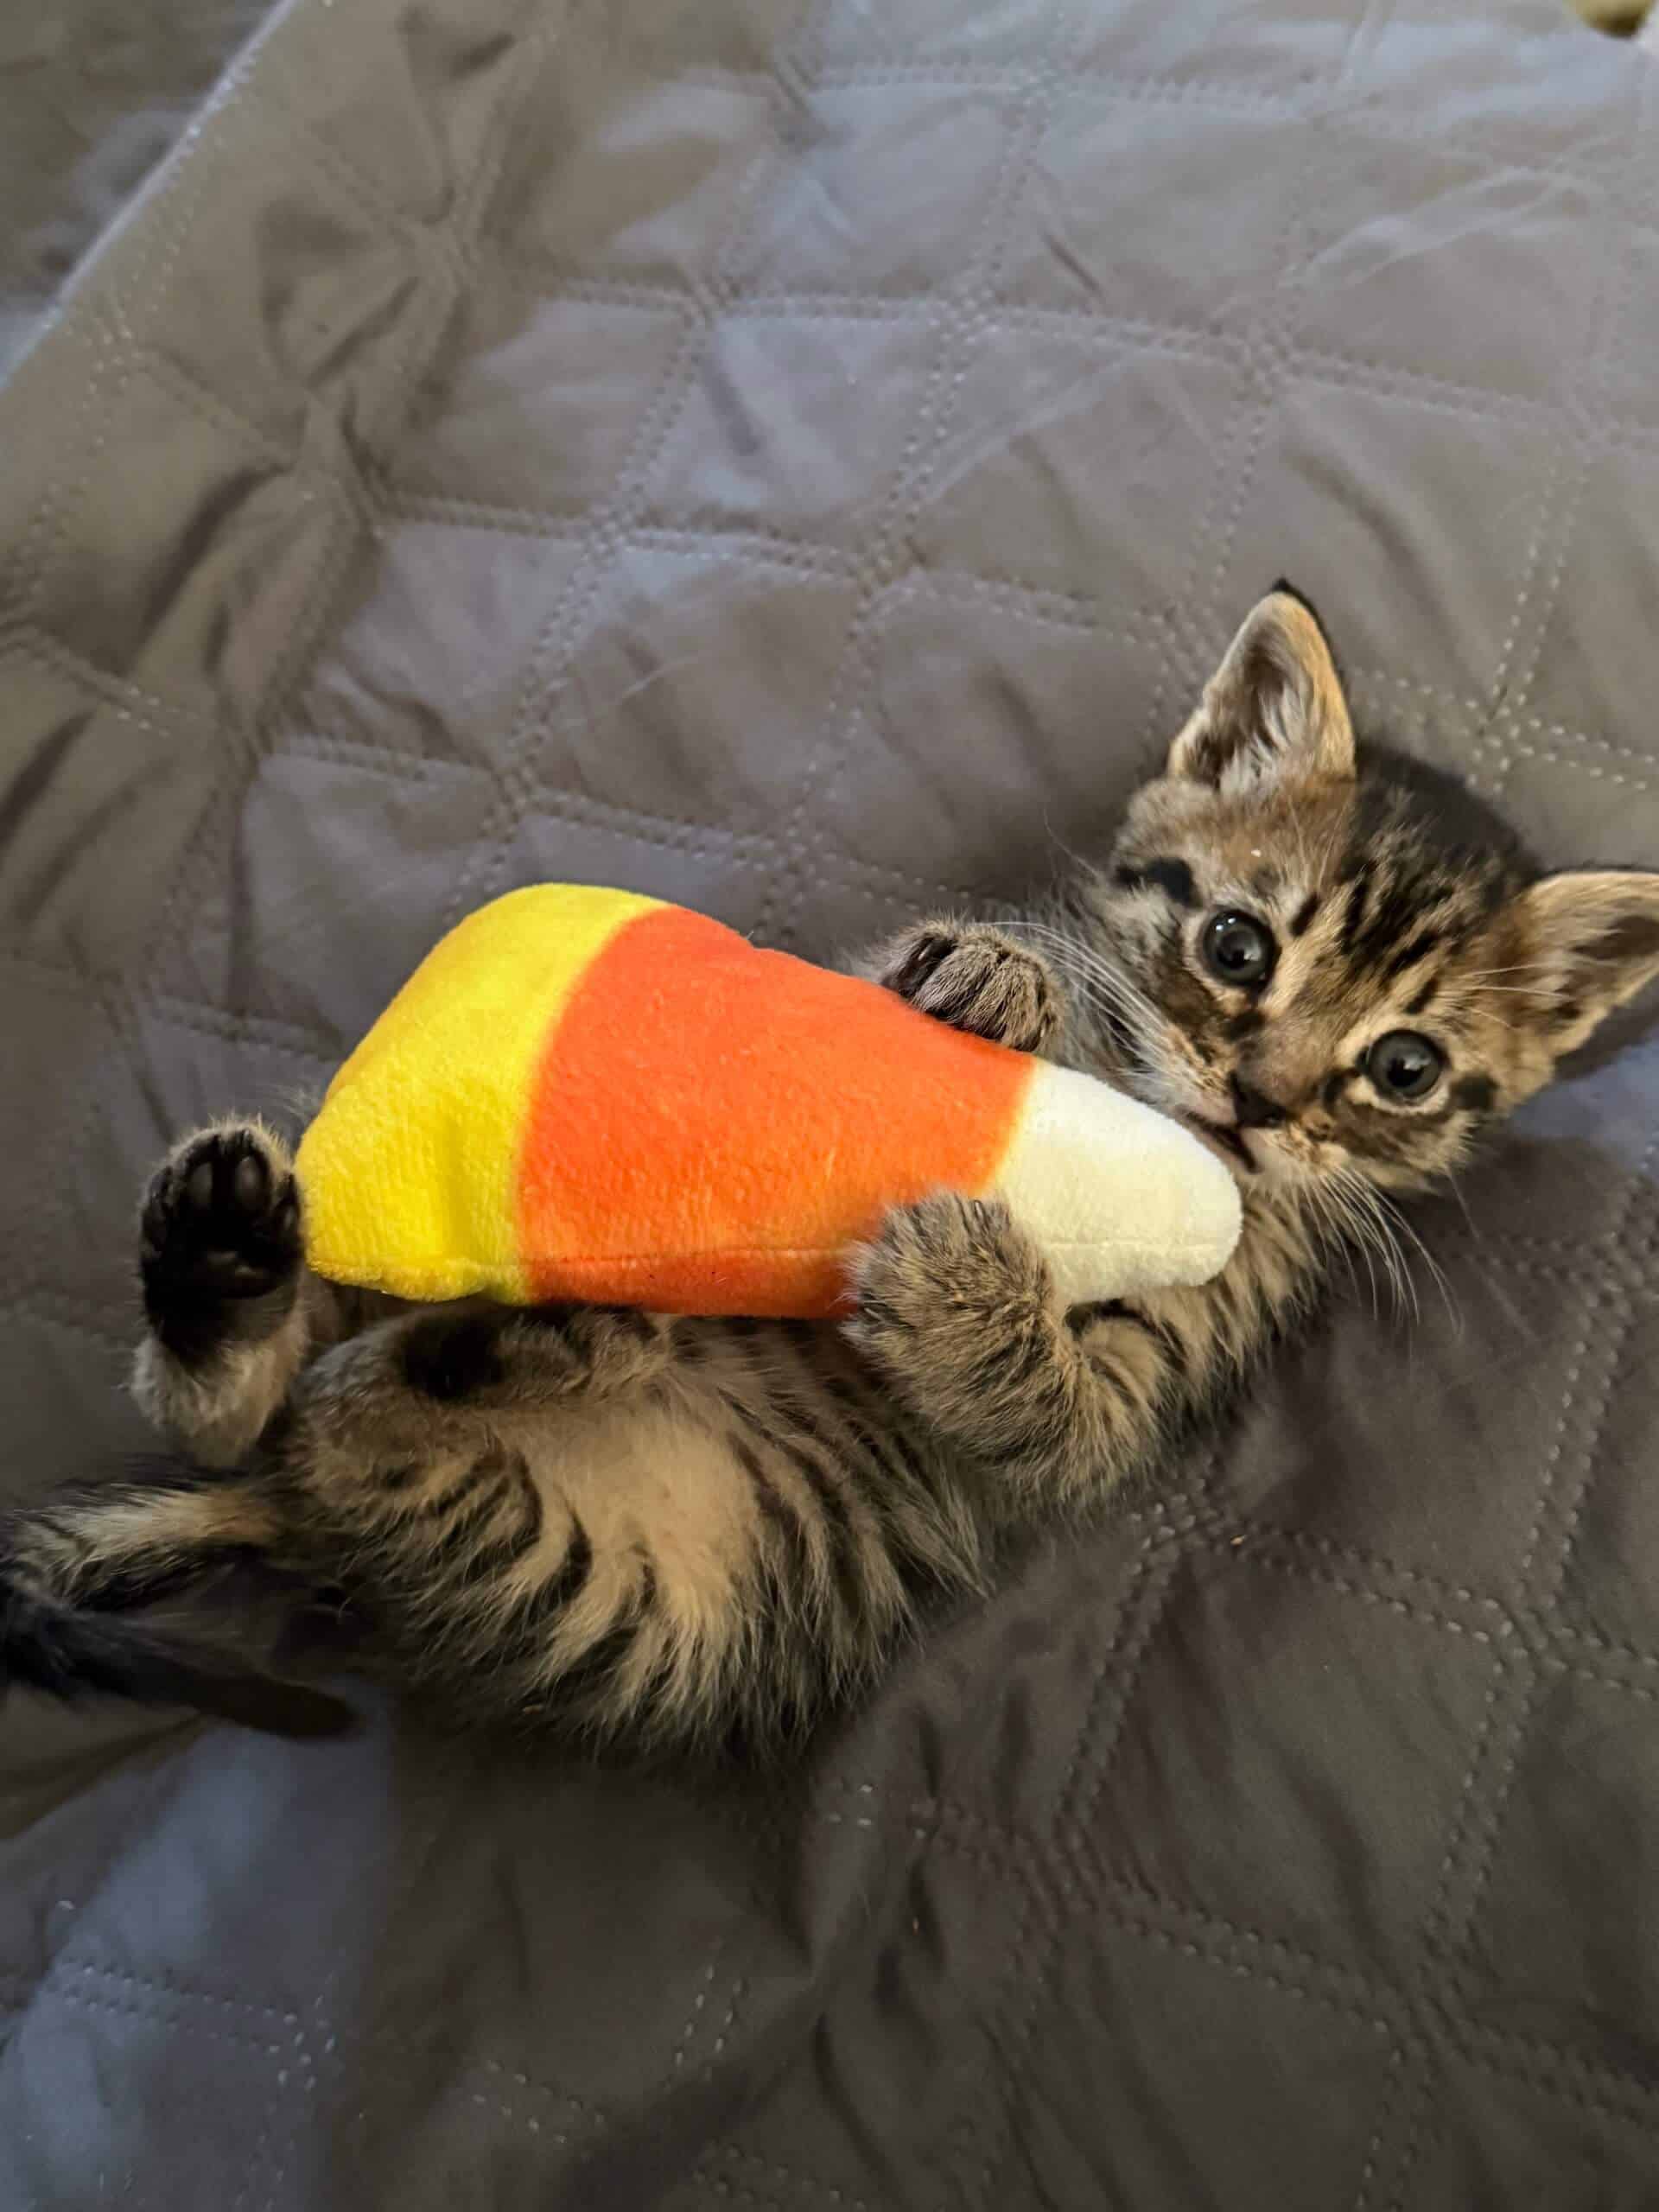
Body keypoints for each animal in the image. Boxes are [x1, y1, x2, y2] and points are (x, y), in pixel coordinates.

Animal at [3, 583, 1659, 1743]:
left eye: (1403, 1070)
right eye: (1237, 946)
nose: (1256, 1102)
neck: (1145, 1108)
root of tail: (280, 1504)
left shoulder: (1151, 1384)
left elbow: (1051, 1415)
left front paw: (968, 1294)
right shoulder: (850, 999)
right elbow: (901, 976)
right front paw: (996, 975)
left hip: (617, 1609)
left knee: (353, 1424)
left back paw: (534, 1340)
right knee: (253, 1386)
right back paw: (228, 1253)